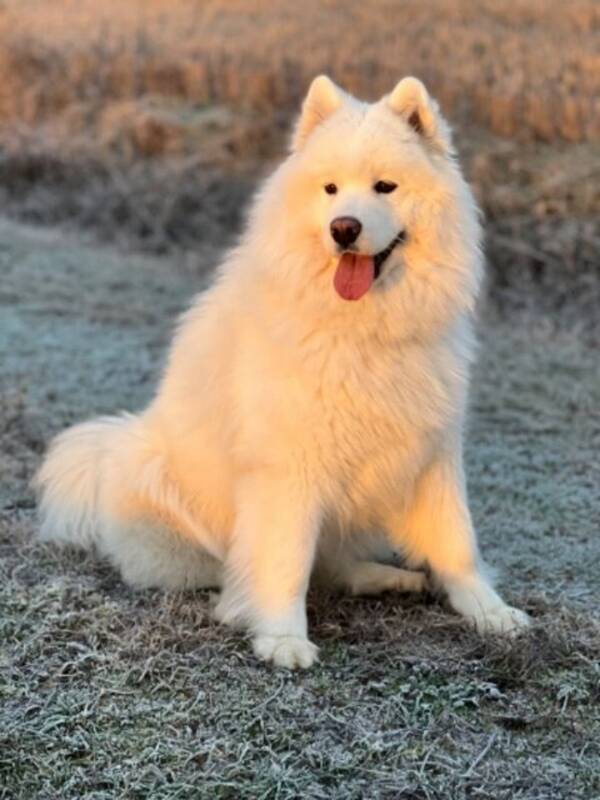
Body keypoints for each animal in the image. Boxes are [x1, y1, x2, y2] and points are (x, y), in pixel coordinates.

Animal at [35, 76, 528, 668]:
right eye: (331, 189)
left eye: (385, 187)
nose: (344, 229)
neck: (361, 329)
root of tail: (108, 454)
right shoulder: (288, 466)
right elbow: (285, 558)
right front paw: (282, 637)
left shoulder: (431, 450)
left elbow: (457, 542)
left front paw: (490, 611)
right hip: (159, 483)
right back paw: (236, 600)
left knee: (336, 565)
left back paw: (387, 577)